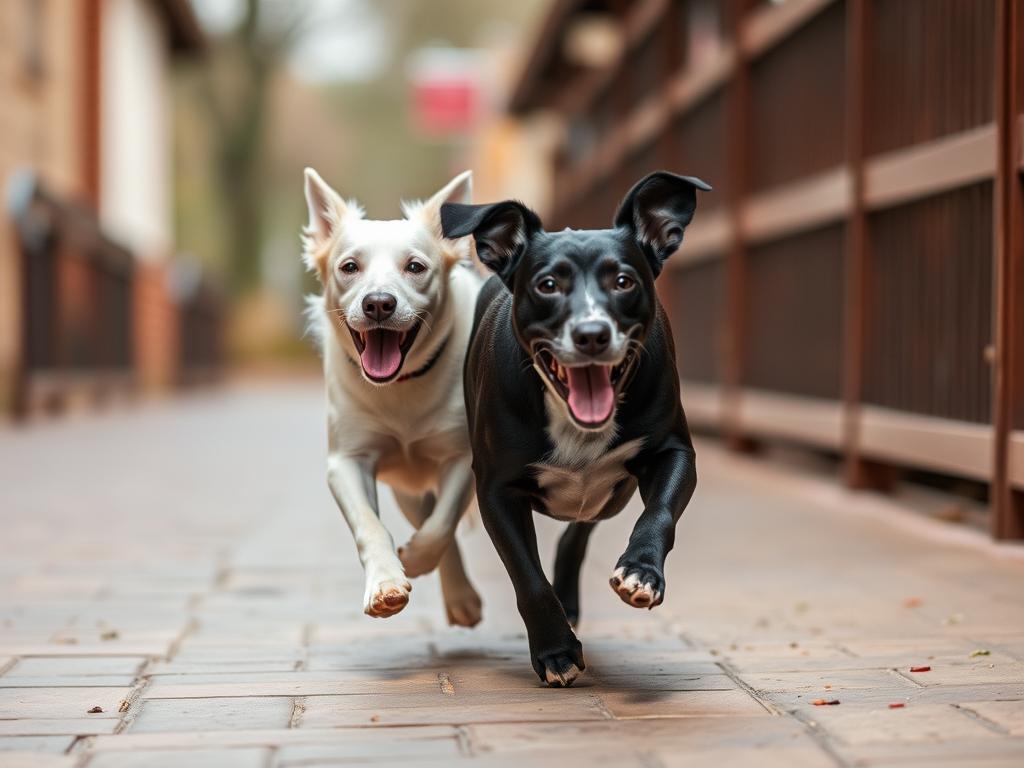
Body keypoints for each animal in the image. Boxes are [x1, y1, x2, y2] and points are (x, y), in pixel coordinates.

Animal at [301, 166, 481, 626]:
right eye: (349, 267)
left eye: (415, 267)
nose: (379, 303)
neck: (399, 386)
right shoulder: (347, 461)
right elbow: (370, 526)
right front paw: (386, 583)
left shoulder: (462, 456)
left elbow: (441, 524)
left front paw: (414, 559)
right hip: (409, 490)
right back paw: (460, 596)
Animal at [440, 173, 712, 684]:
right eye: (548, 285)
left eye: (624, 281)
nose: (592, 334)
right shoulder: (496, 490)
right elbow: (527, 576)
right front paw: (555, 651)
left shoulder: (673, 453)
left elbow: (659, 514)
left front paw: (642, 572)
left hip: (613, 495)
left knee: (580, 530)